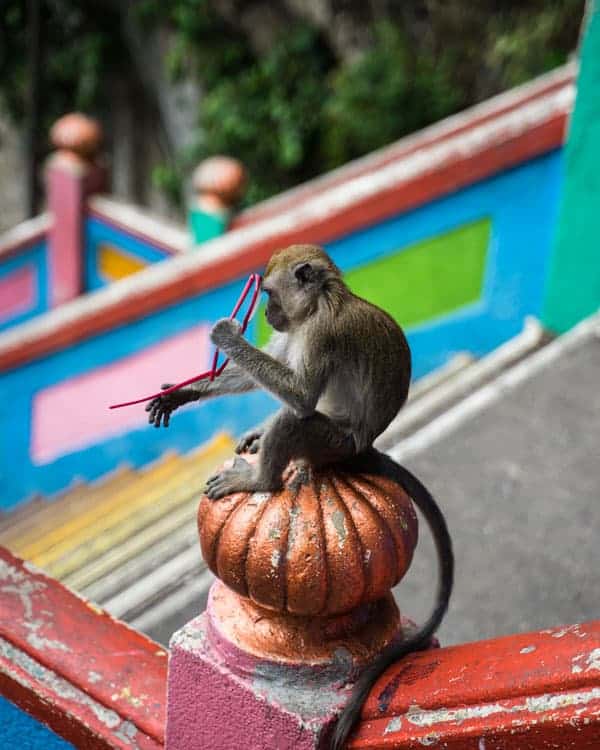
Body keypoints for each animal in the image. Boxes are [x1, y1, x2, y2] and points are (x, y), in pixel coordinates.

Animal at [148, 244, 452, 748]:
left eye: (269, 294)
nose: (268, 313)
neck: (317, 306)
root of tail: (364, 448)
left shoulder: (323, 335)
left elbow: (301, 396)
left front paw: (225, 334)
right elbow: (261, 375)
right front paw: (184, 392)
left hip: (335, 443)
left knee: (298, 420)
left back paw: (260, 480)